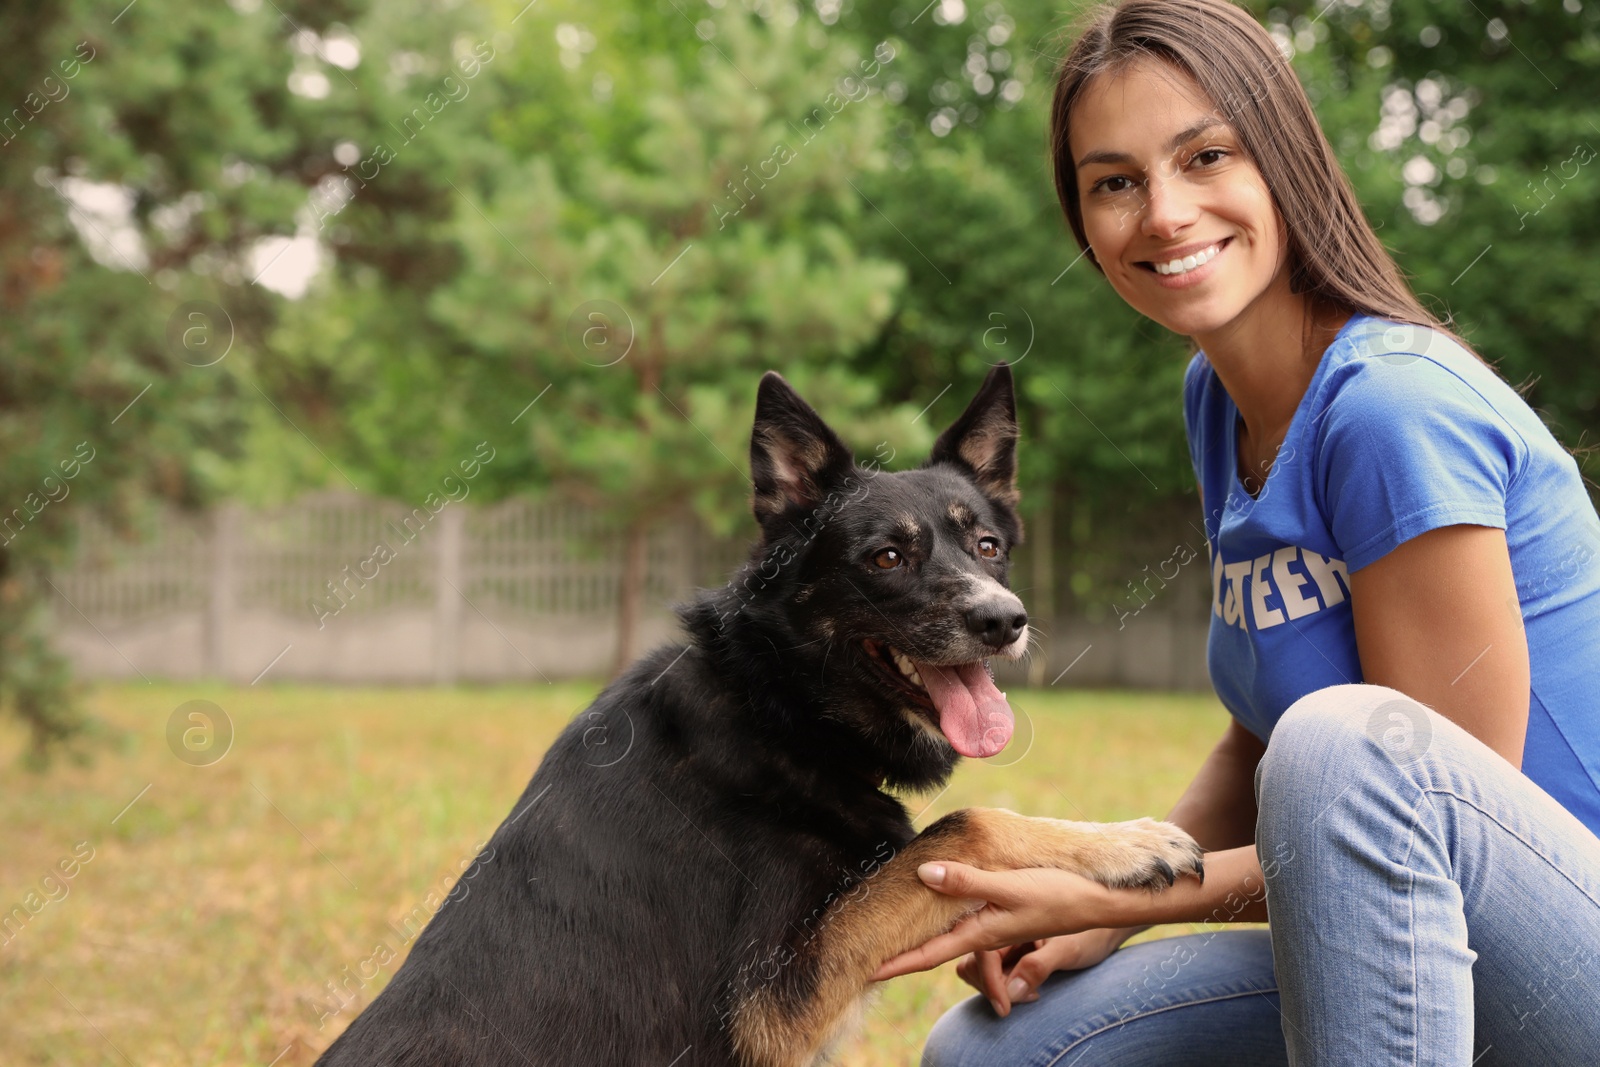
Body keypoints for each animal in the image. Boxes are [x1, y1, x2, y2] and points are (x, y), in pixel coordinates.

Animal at [315, 364, 1203, 1067]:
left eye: (987, 546)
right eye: (887, 556)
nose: (1005, 620)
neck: (777, 704)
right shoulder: (776, 999)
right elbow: (972, 824)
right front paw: (1131, 841)